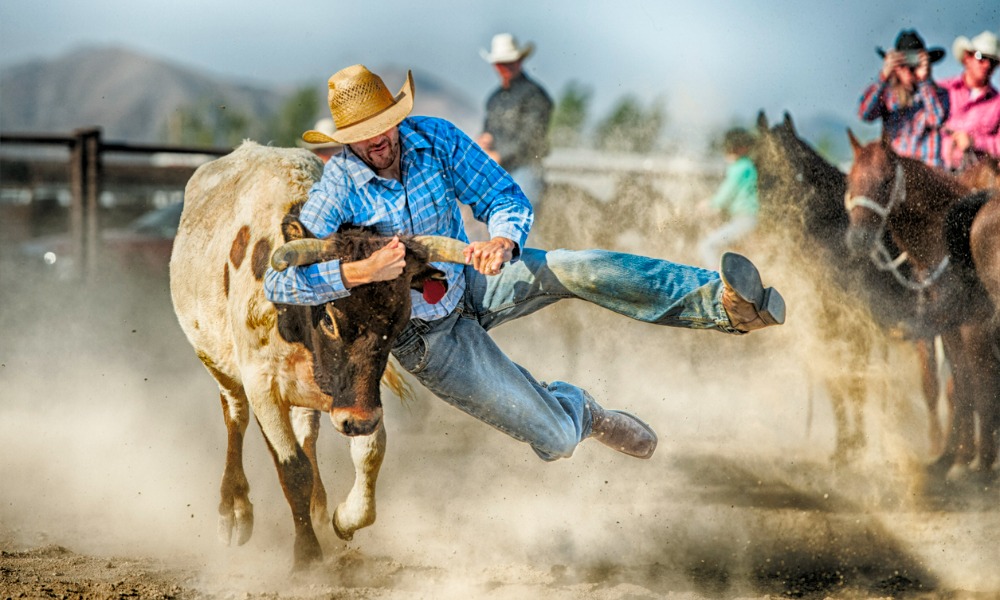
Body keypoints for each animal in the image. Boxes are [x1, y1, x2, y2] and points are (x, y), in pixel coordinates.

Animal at [844, 134, 1000, 476]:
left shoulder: (974, 326)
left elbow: (979, 385)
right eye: (851, 180)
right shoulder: (951, 326)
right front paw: (956, 456)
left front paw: (975, 463)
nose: (859, 239)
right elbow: (962, 384)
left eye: (886, 180)